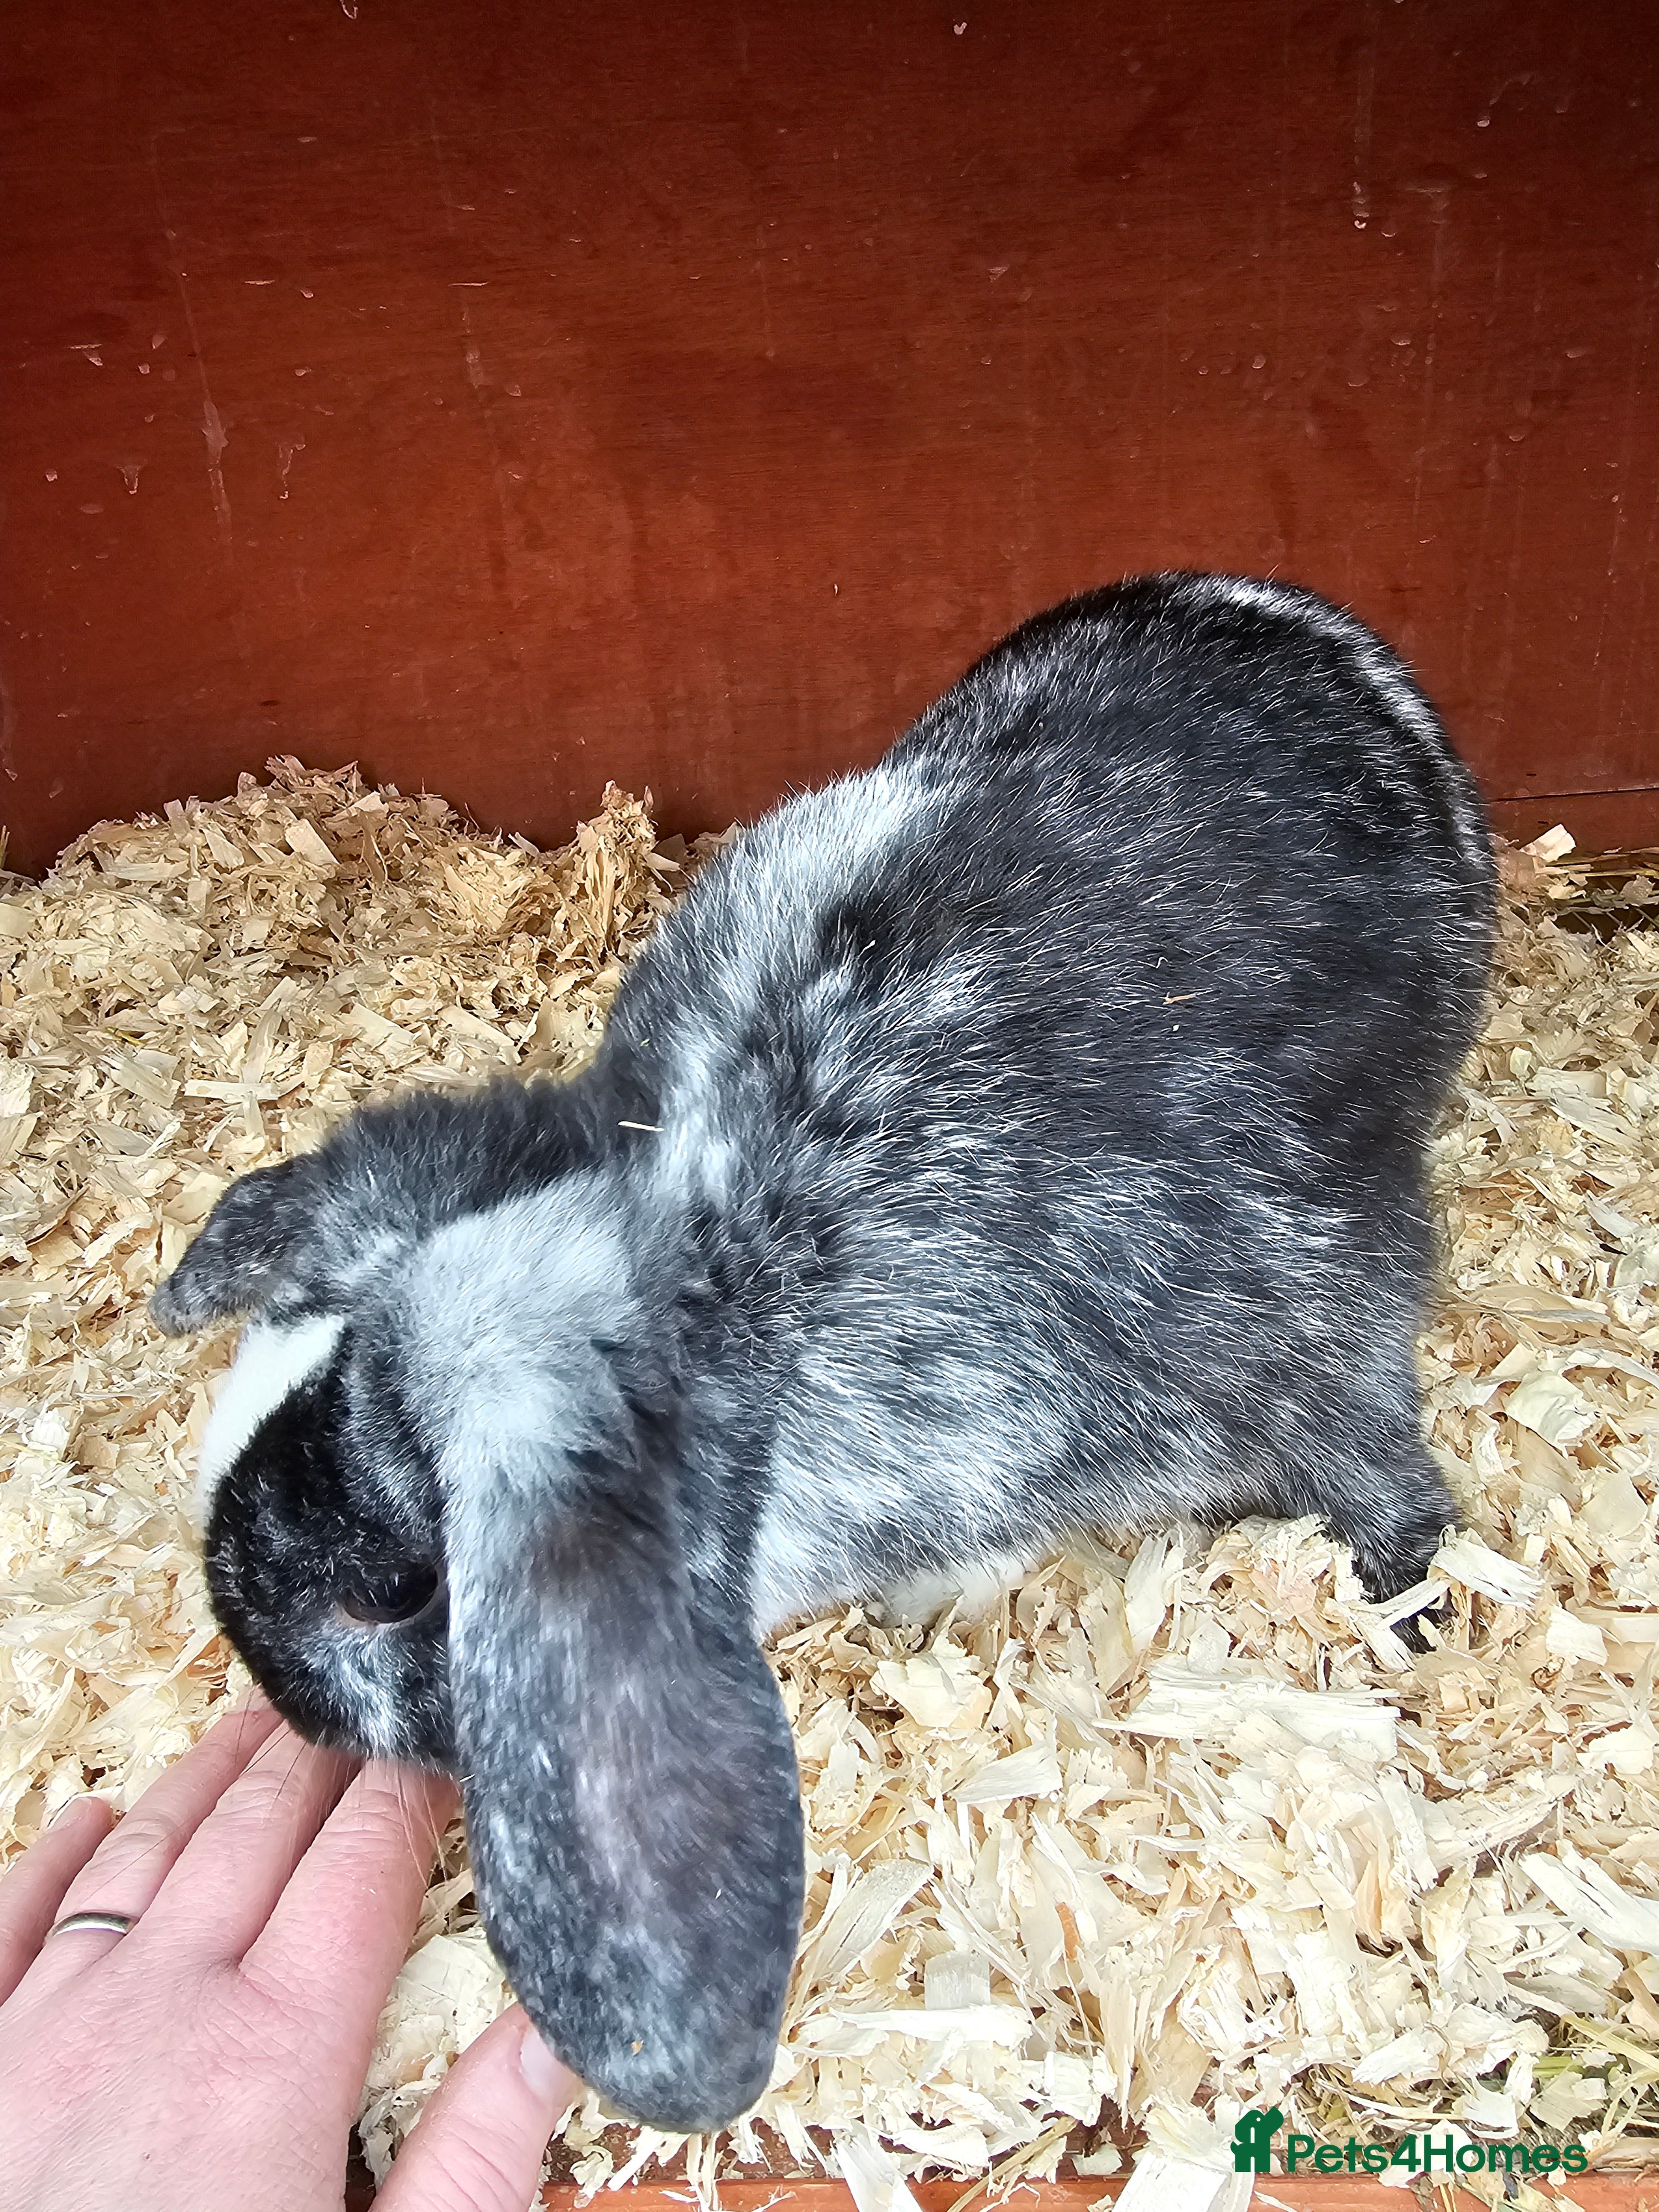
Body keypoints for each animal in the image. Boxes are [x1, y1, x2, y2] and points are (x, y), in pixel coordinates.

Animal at [151, 571, 1495, 2133]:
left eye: (392, 1589)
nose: (258, 1664)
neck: (721, 1266)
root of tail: (1305, 621)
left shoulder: (1304, 1326)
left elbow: (1379, 1469)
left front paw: (1407, 1607)